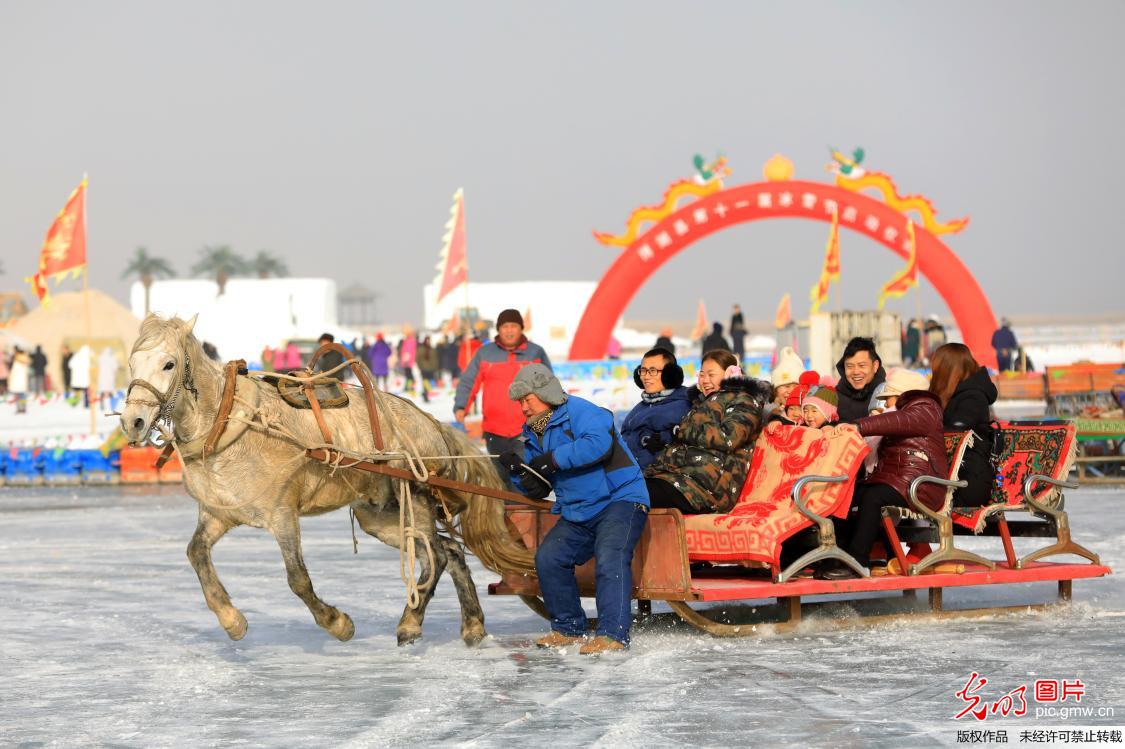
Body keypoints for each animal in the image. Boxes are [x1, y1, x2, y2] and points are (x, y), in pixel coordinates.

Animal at [120, 312, 533, 643]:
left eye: (169, 364)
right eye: (132, 362)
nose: (133, 422)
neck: (230, 427)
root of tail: (430, 421)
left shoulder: (282, 515)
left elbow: (297, 579)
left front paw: (337, 622)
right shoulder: (218, 514)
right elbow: (196, 554)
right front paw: (231, 619)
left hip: (414, 498)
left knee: (436, 558)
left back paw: (411, 622)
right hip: (379, 515)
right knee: (451, 552)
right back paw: (472, 625)